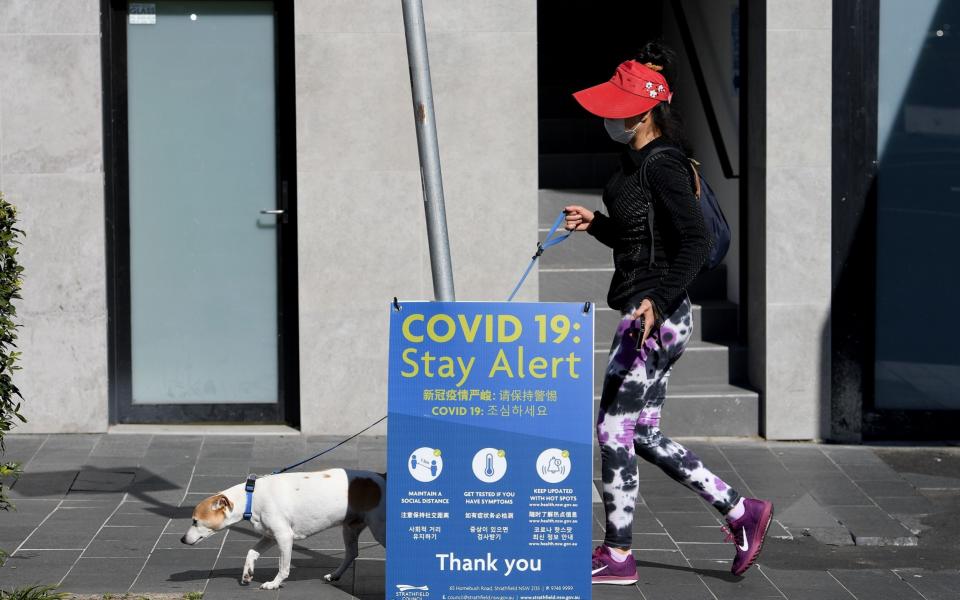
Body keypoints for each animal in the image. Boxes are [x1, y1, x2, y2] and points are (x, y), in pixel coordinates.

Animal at [180, 468, 386, 592]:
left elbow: (283, 567)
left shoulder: (284, 537)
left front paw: (274, 583)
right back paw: (335, 574)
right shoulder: (270, 536)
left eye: (195, 521)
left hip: (379, 530)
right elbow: (251, 552)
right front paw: (247, 574)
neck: (251, 497)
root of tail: (382, 477)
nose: (182, 539)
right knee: (352, 553)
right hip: (350, 528)